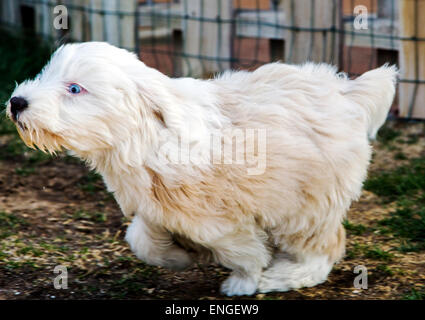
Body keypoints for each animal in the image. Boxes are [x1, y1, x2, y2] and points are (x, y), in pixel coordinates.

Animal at [6, 42, 396, 296]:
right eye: (46, 74)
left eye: (75, 89)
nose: (17, 102)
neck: (145, 135)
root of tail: (346, 93)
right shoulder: (154, 208)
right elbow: (142, 241)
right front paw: (179, 256)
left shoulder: (220, 220)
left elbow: (242, 251)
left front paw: (244, 282)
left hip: (307, 204)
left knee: (321, 249)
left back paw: (283, 277)